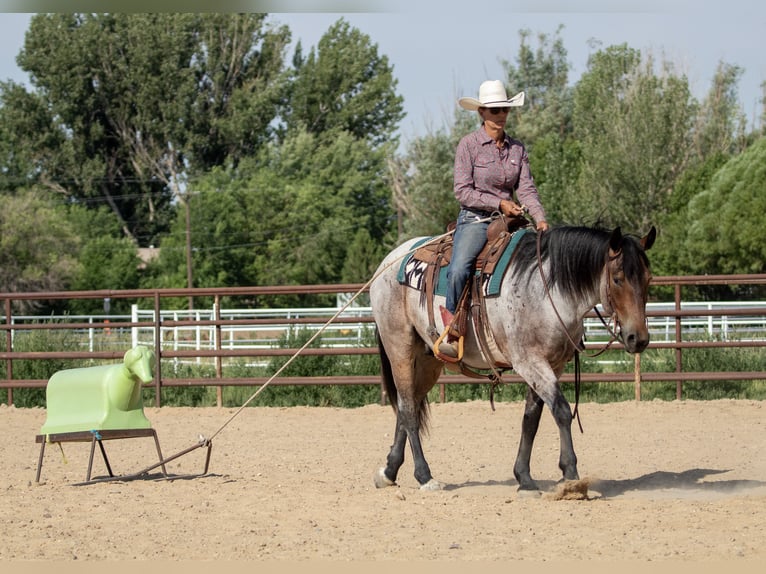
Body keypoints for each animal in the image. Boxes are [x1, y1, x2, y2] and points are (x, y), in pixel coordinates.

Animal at [368, 225, 656, 496]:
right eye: (617, 279)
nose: (638, 338)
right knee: (407, 408)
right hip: (400, 347)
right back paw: (424, 476)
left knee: (409, 404)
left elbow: (531, 418)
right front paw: (571, 475)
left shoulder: (552, 365)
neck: (544, 291)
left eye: (648, 279)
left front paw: (525, 478)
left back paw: (389, 471)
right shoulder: (529, 361)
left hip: (429, 360)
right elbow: (561, 411)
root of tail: (387, 263)